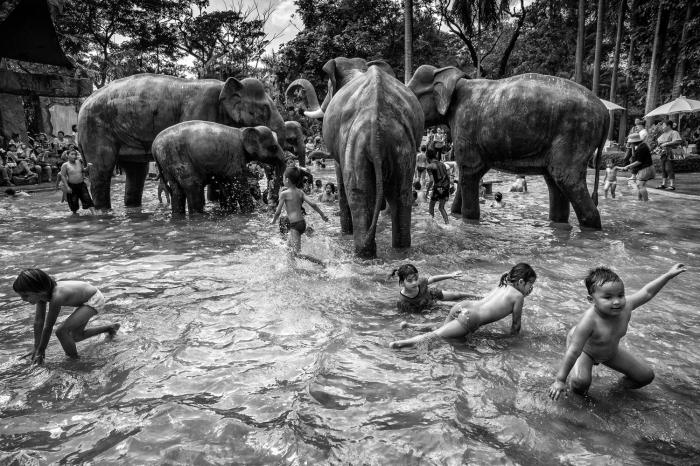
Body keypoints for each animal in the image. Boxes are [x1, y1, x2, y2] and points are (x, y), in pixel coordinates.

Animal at [152, 120, 286, 215]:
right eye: (274, 147)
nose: (270, 198)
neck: (241, 131)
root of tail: (154, 146)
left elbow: (226, 186)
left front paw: (230, 211)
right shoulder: (236, 157)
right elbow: (239, 185)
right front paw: (249, 212)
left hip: (168, 164)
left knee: (177, 191)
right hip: (179, 160)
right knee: (193, 187)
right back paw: (198, 216)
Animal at [286, 57, 426, 258]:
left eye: (328, 87)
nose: (293, 107)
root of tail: (376, 117)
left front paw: (345, 233)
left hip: (356, 143)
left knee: (358, 194)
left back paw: (362, 252)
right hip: (402, 145)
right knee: (402, 193)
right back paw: (400, 250)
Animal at [408, 66, 608, 230]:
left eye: (414, 95)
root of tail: (605, 111)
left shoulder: (465, 126)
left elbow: (469, 171)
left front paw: (468, 221)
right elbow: (469, 174)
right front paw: (455, 214)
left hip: (575, 133)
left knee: (566, 179)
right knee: (555, 182)